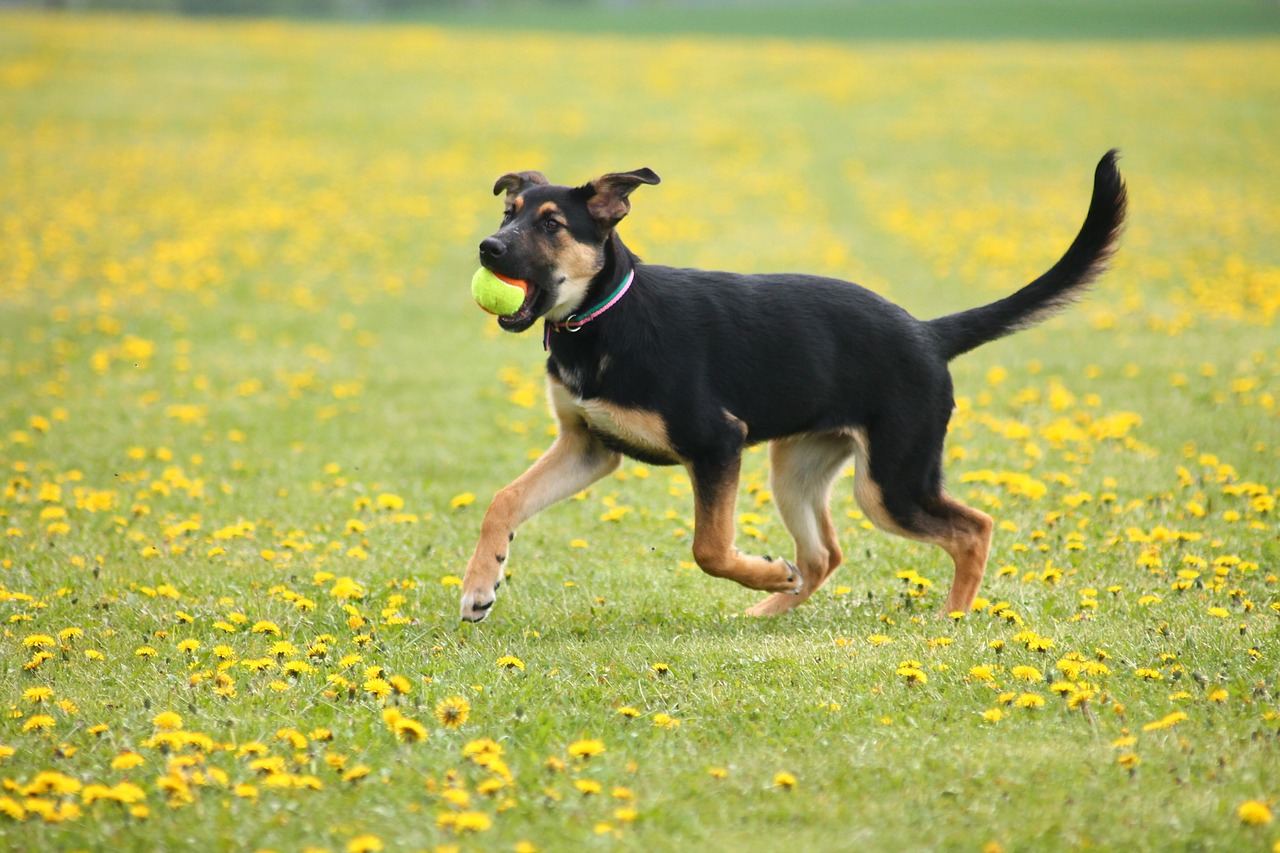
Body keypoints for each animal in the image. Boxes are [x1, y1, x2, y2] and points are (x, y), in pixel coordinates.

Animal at [460, 151, 1131, 617]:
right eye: (508, 215)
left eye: (551, 225)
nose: (488, 248)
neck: (604, 316)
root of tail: (927, 333)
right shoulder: (588, 446)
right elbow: (504, 500)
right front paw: (479, 585)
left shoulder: (717, 443)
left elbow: (709, 548)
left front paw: (763, 568)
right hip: (798, 467)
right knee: (824, 554)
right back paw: (770, 607)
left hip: (890, 483)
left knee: (974, 528)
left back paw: (950, 618)